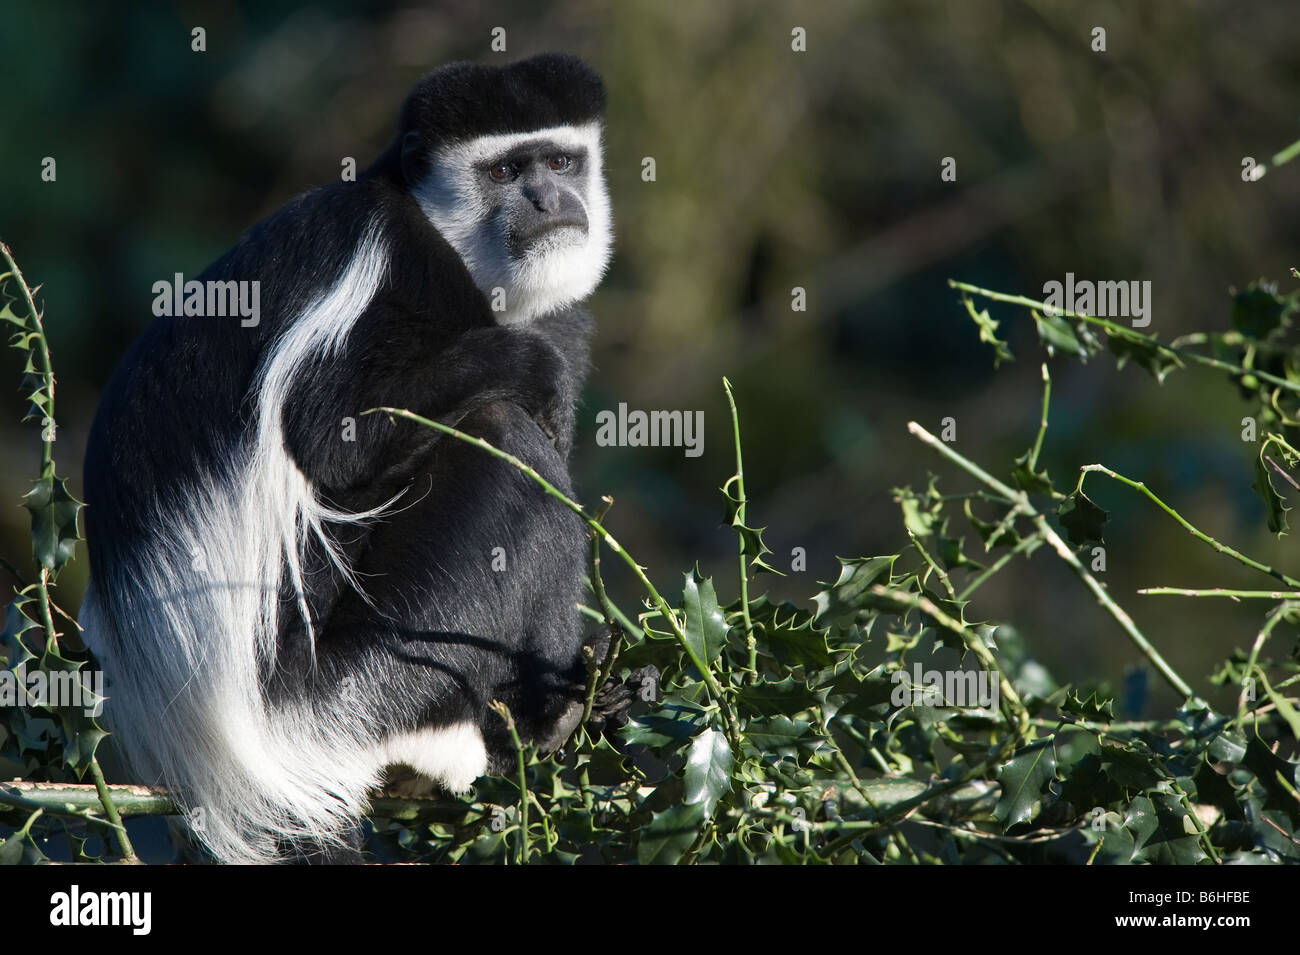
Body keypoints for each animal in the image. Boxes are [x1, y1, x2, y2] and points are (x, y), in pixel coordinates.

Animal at [79, 54, 613, 867]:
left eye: (560, 162)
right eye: (505, 170)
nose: (551, 200)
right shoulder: (385, 259)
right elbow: (332, 437)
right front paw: (528, 366)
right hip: (356, 682)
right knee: (502, 441)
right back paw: (540, 719)